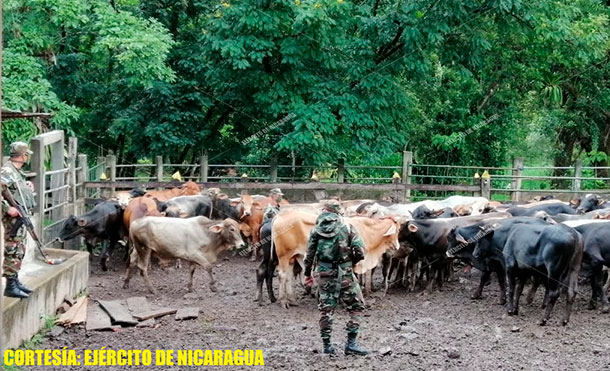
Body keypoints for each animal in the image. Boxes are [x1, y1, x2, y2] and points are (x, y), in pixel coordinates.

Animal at [270, 211, 400, 310]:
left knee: (288, 276)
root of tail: (281, 215)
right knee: (282, 276)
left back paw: (292, 300)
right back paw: (283, 301)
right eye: (398, 230)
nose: (397, 246)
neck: (368, 231)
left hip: (293, 257)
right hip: (283, 256)